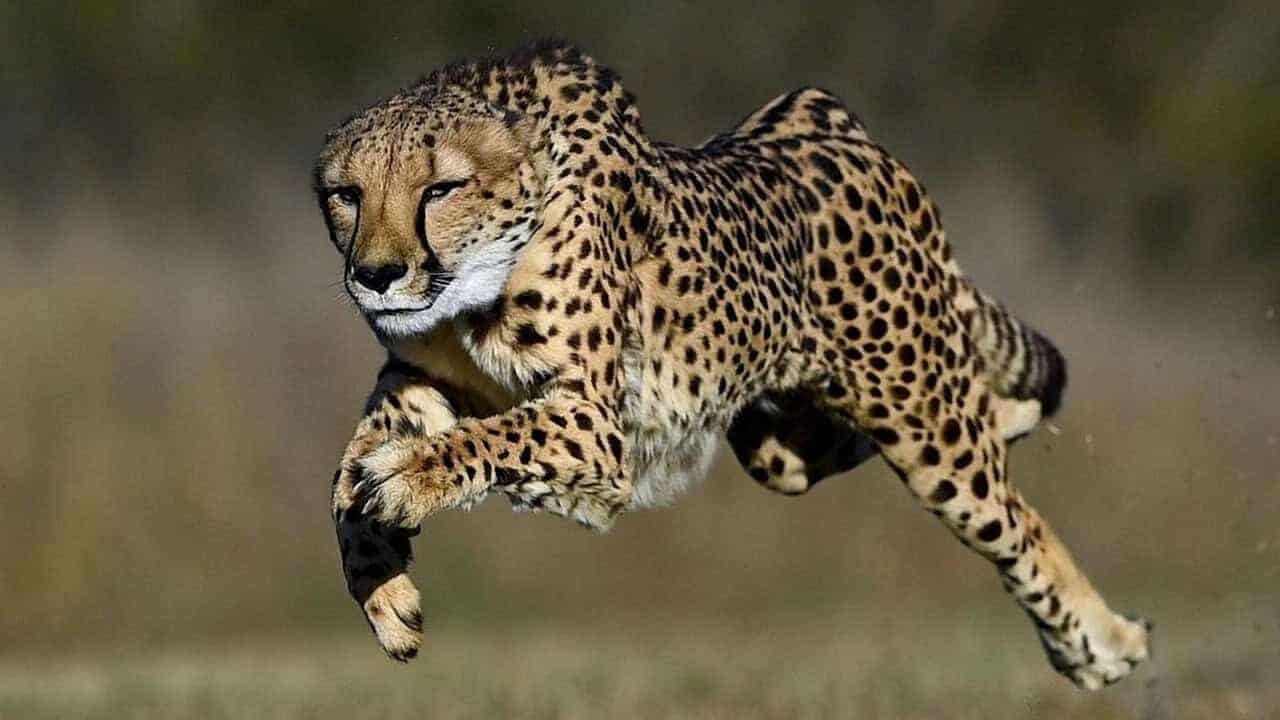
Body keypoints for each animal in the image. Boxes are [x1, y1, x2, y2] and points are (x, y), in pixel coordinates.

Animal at [314, 40, 1150, 689]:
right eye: (347, 194)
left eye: (441, 188)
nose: (376, 276)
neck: (471, 288)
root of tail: (828, 119)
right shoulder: (418, 379)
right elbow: (345, 475)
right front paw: (381, 586)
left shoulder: (594, 424)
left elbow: (480, 441)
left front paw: (408, 479)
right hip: (776, 443)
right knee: (882, 439)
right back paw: (1013, 416)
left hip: (924, 424)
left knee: (1016, 519)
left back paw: (1104, 644)